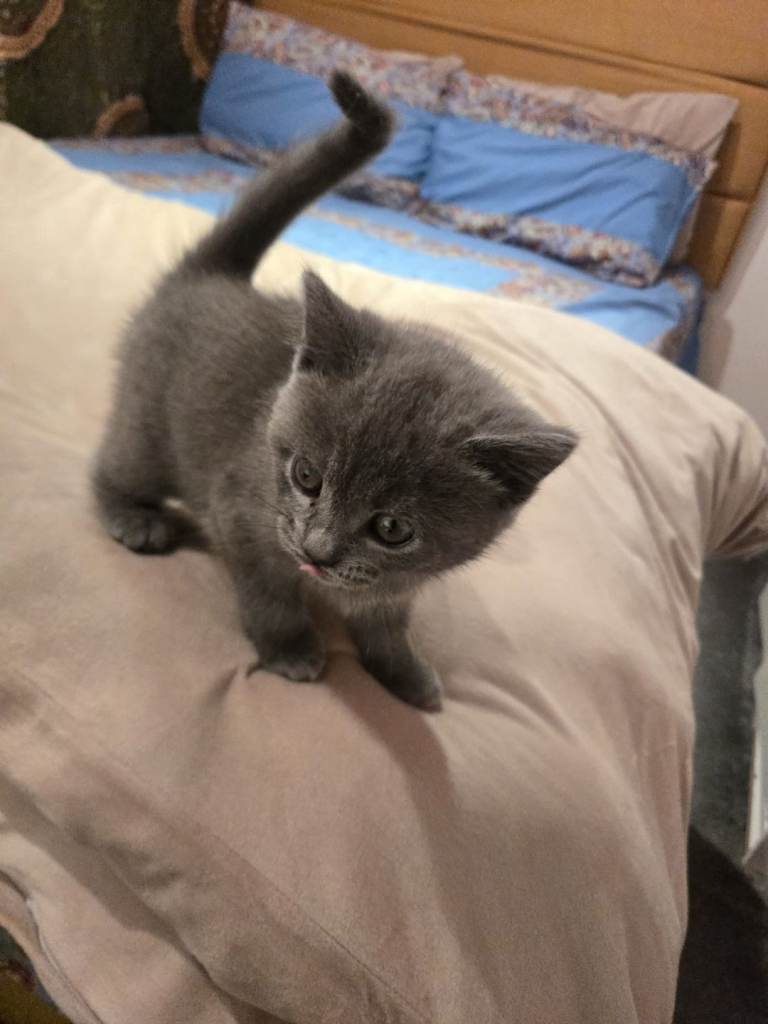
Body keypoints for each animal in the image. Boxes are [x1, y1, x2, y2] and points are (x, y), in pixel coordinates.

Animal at [92, 71, 577, 711]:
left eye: (393, 529)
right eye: (306, 477)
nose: (318, 550)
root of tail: (209, 275)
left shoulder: (399, 580)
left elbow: (385, 621)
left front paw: (403, 672)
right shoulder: (239, 513)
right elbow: (269, 594)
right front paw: (291, 647)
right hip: (149, 425)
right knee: (114, 466)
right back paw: (132, 515)